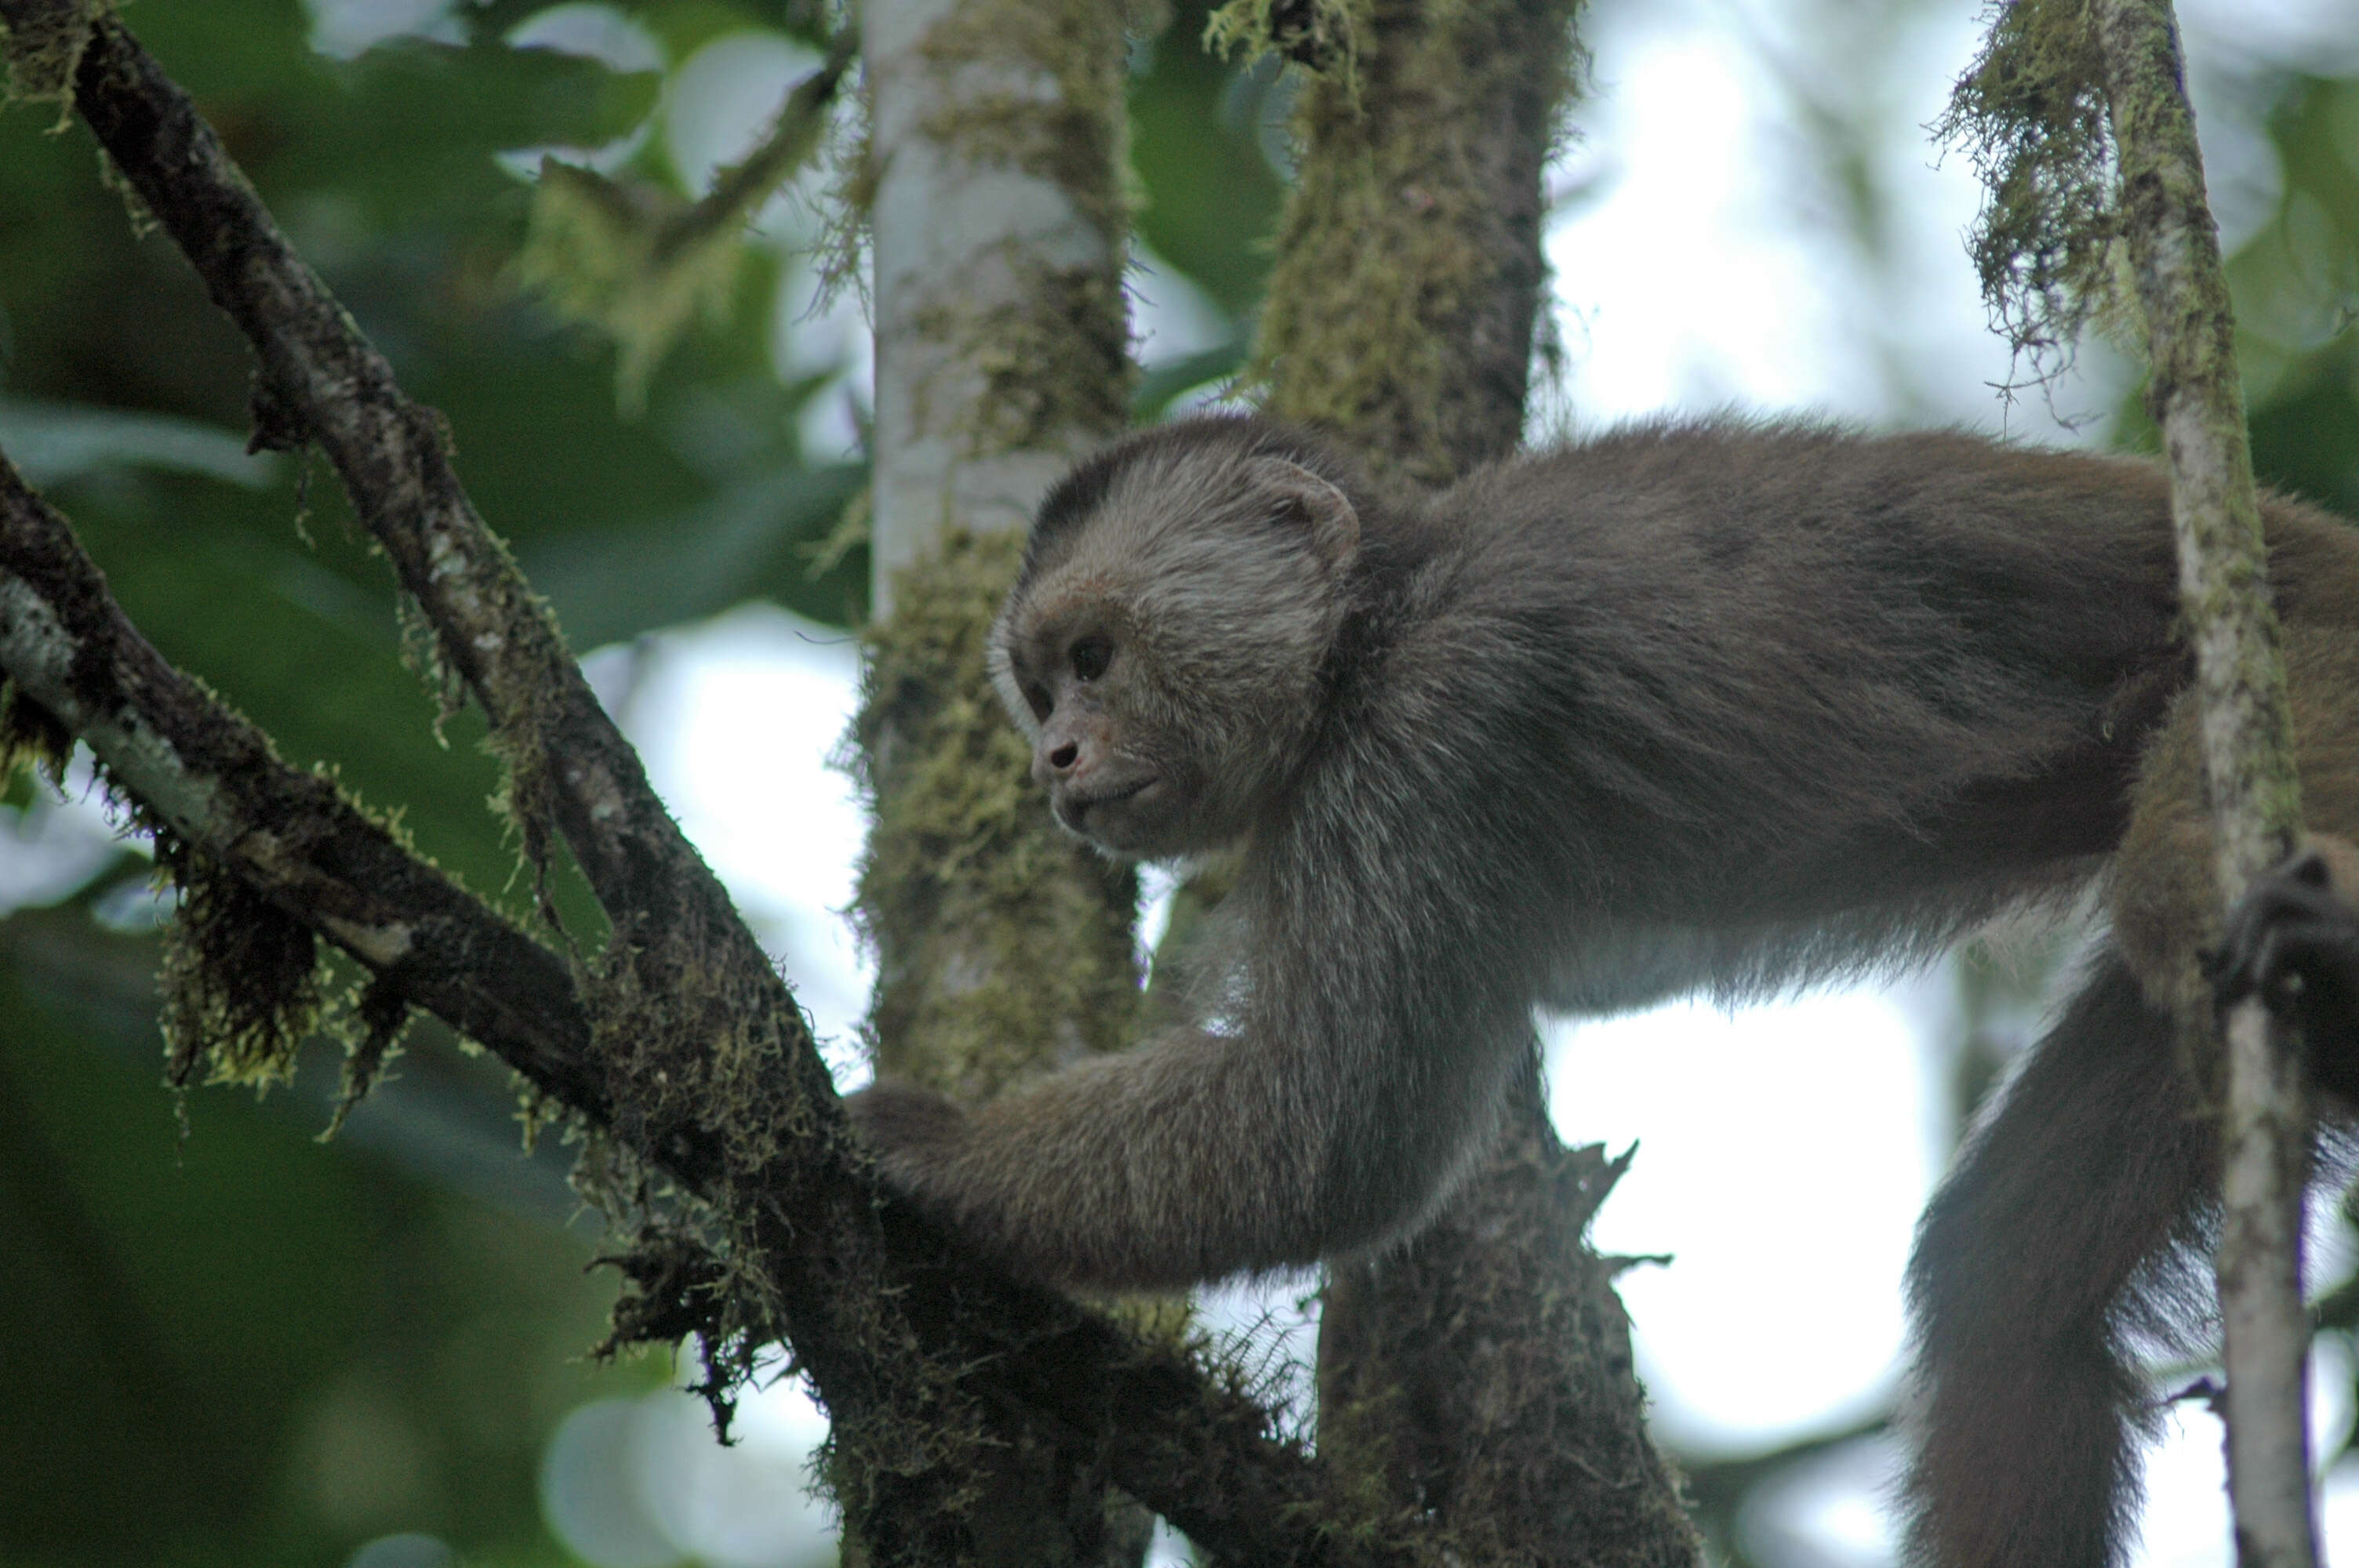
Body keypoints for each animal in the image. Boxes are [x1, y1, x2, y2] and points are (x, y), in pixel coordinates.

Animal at [858, 412, 2359, 1565]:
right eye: (1041, 685)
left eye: (1094, 661)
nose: (1054, 756)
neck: (1375, 625)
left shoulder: (1427, 728)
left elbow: (1334, 1136)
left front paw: (926, 1151)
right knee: (2005, 1286)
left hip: (2309, 673)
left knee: (2169, 896)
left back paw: (2318, 939)